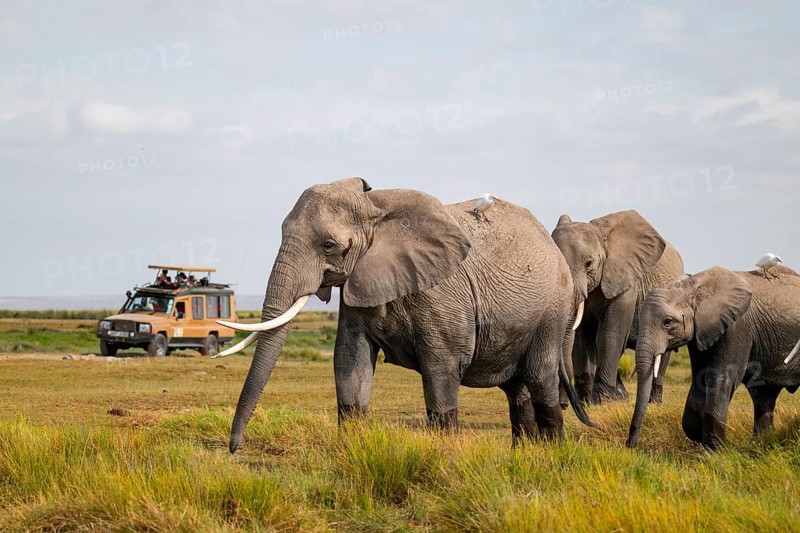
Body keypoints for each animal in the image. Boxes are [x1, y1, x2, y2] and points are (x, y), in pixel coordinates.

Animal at [219, 177, 594, 453]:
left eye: (328, 245)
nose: (235, 449)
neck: (375, 206)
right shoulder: (359, 284)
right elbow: (350, 362)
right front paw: (353, 451)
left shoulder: (443, 291)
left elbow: (441, 368)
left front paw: (445, 457)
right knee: (518, 390)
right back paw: (523, 455)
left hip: (552, 310)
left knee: (540, 376)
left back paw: (551, 456)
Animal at [551, 210, 684, 404]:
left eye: (589, 264)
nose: (563, 404)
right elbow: (582, 336)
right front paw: (586, 401)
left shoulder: (627, 280)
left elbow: (611, 332)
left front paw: (601, 400)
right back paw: (621, 397)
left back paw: (653, 401)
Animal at [627, 265, 800, 449]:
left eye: (667, 321)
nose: (630, 444)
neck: (695, 286)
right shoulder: (700, 333)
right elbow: (699, 379)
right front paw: (702, 440)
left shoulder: (736, 327)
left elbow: (720, 378)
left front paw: (717, 450)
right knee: (764, 395)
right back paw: (759, 443)